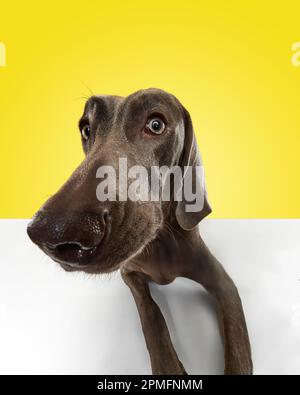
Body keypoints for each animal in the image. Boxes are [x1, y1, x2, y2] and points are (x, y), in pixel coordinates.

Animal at [27, 88, 253, 376]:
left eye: (156, 125)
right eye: (86, 129)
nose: (53, 232)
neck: (161, 242)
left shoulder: (223, 282)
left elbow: (239, 350)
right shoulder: (129, 272)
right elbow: (150, 312)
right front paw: (168, 365)